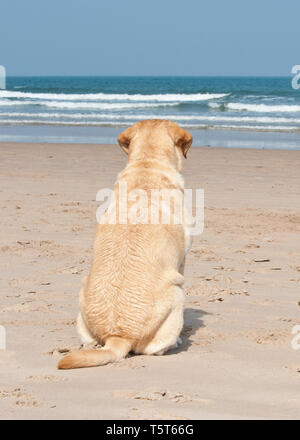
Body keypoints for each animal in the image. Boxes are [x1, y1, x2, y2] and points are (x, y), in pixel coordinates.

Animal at [57, 119, 193, 368]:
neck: (146, 165)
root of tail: (117, 336)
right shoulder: (182, 260)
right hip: (177, 293)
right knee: (157, 348)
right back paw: (175, 343)